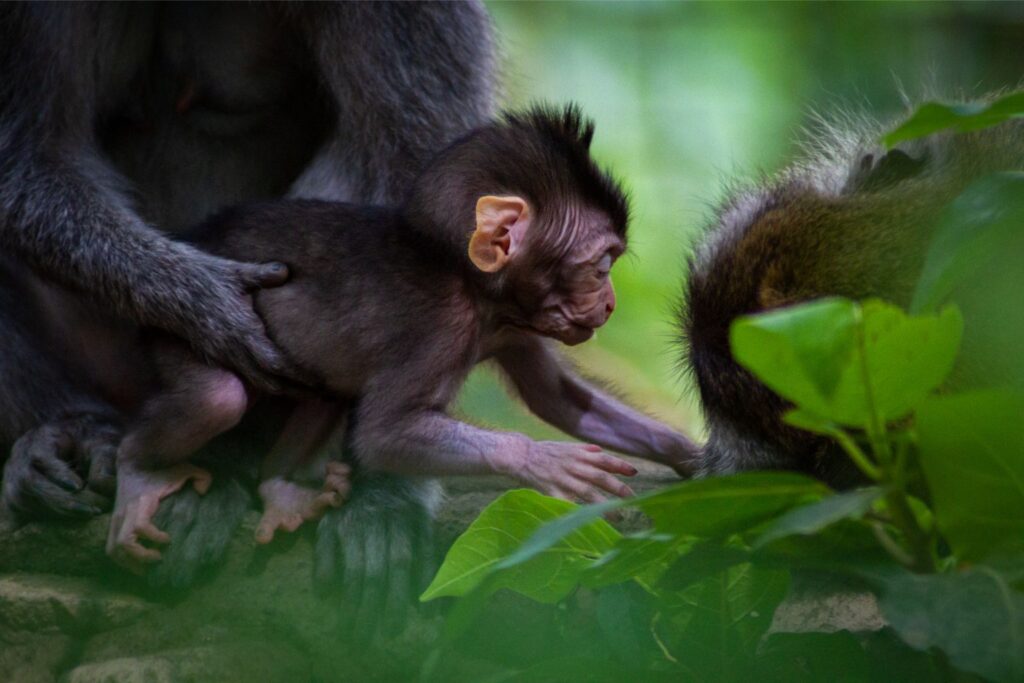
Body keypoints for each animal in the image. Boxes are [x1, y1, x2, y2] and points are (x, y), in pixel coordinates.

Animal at [110, 105, 696, 565]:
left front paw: (692, 455)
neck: (468, 282)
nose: (610, 303)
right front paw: (538, 460)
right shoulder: (441, 330)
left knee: (329, 392)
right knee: (216, 398)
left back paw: (282, 488)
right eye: (601, 266)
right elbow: (382, 435)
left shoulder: (509, 328)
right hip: (186, 326)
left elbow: (556, 398)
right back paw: (137, 472)